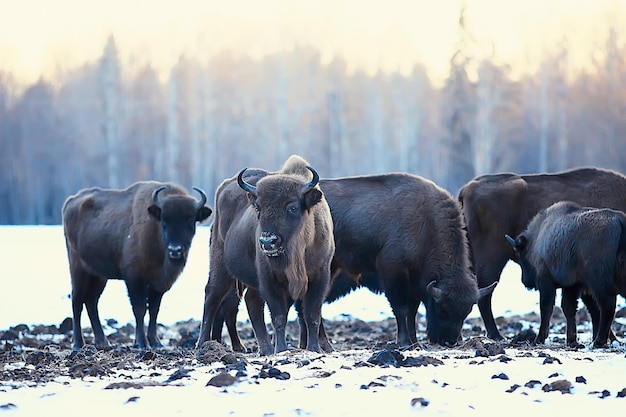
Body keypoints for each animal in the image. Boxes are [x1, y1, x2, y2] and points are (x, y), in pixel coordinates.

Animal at [62, 181, 211, 348]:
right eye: (164, 221)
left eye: (190, 220)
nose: (175, 250)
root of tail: (71, 201)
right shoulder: (134, 279)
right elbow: (139, 309)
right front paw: (141, 342)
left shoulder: (158, 284)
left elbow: (154, 311)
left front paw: (156, 342)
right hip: (78, 270)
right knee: (77, 301)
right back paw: (78, 343)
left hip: (99, 276)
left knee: (91, 302)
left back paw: (103, 342)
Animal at [197, 156, 334, 354]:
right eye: (259, 208)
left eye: (293, 207)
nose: (268, 241)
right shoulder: (270, 279)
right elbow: (279, 316)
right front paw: (282, 349)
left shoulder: (319, 276)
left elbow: (312, 315)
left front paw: (314, 348)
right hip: (220, 266)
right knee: (212, 297)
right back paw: (202, 344)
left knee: (249, 302)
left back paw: (265, 348)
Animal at [504, 202, 624, 348]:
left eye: (520, 255)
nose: (525, 282)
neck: (539, 237)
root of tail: (620, 221)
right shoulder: (574, 286)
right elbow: (570, 309)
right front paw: (572, 340)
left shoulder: (546, 281)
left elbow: (546, 308)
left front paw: (539, 339)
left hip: (599, 284)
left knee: (607, 307)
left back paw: (598, 341)